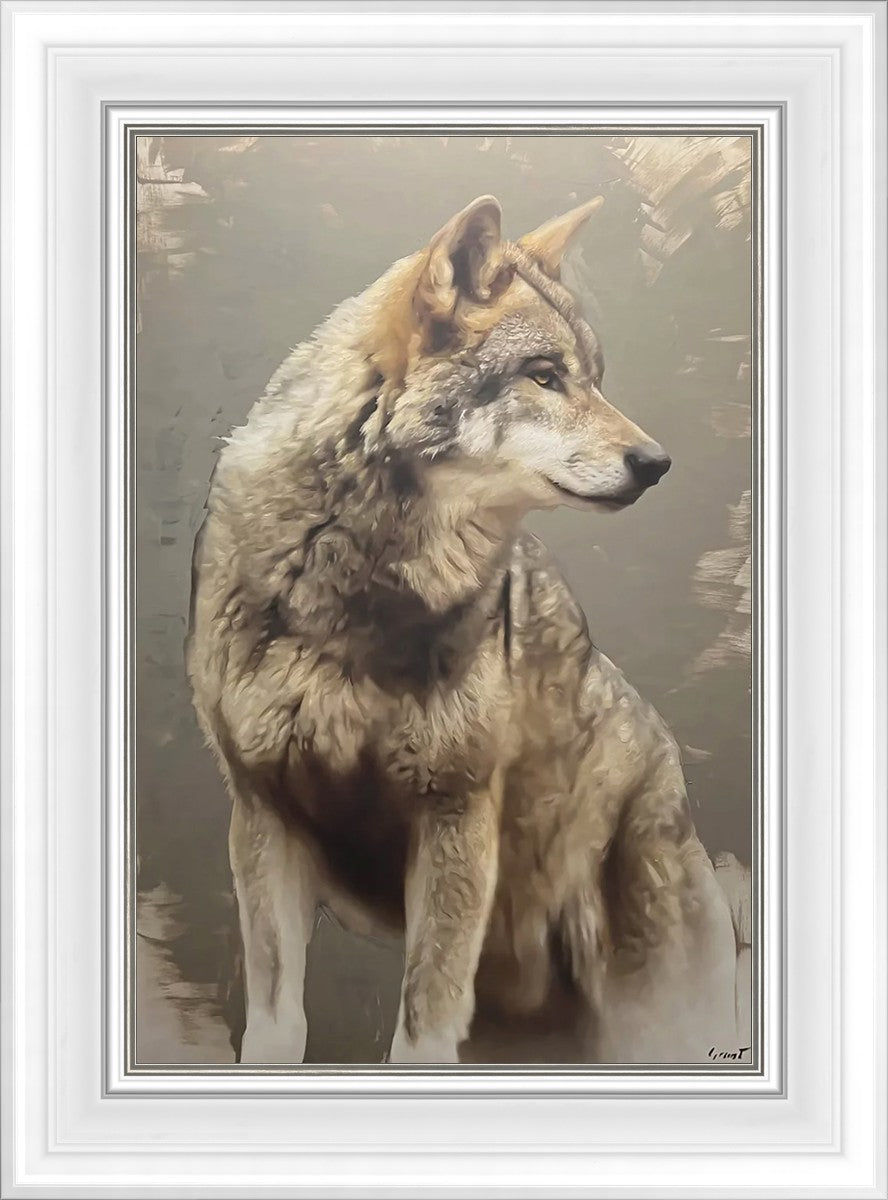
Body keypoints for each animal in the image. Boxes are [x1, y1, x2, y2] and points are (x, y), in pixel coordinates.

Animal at [187, 195, 743, 1066]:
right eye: (545, 375)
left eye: (594, 377)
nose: (657, 463)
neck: (353, 591)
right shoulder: (264, 815)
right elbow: (279, 1026)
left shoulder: (455, 816)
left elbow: (421, 1031)